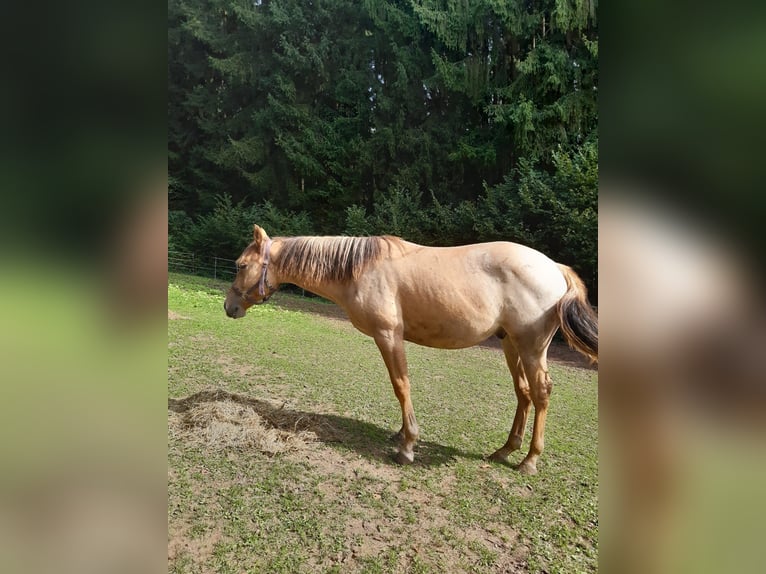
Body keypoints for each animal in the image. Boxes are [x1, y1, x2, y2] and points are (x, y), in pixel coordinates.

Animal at [224, 225, 598, 474]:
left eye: (241, 265)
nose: (229, 307)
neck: (362, 268)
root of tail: (555, 268)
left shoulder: (389, 336)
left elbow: (401, 386)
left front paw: (407, 446)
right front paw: (402, 435)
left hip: (532, 348)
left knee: (541, 392)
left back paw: (529, 461)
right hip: (511, 345)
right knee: (523, 393)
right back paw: (505, 450)